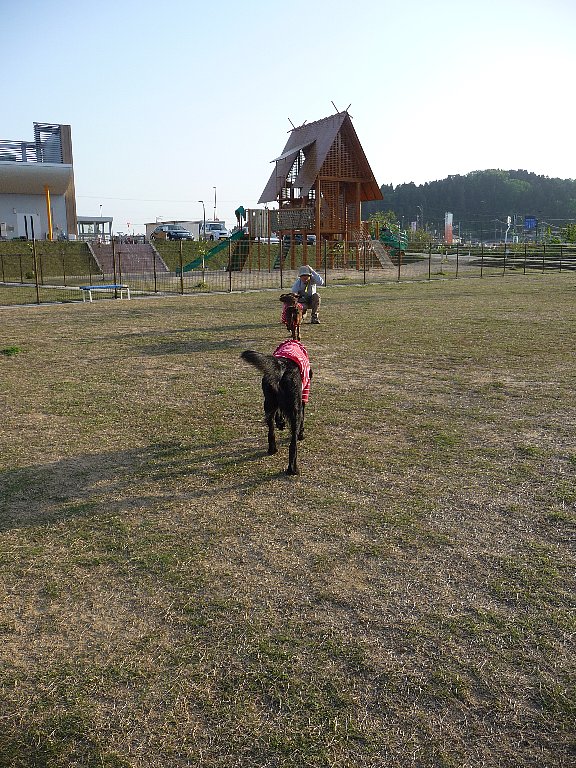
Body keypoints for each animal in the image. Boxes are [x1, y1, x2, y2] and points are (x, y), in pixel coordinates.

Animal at [241, 340, 312, 475]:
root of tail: (282, 366)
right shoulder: (304, 394)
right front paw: (301, 434)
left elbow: (279, 414)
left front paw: (280, 423)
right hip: (295, 409)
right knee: (293, 444)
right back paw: (293, 469)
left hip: (268, 403)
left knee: (271, 430)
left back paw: (272, 449)